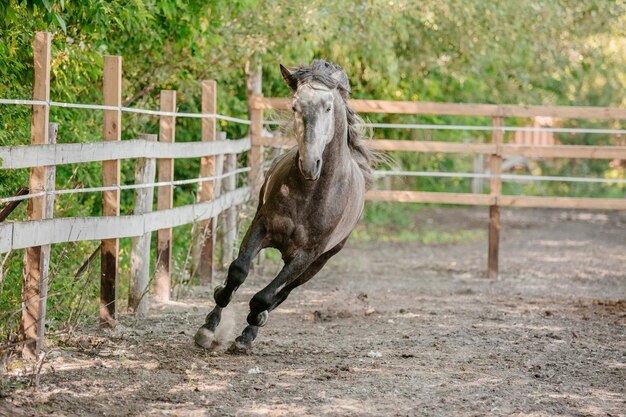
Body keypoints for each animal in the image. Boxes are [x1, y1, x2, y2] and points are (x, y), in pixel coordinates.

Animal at [193, 59, 372, 352]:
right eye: (295, 106)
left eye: (328, 107)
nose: (310, 164)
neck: (309, 194)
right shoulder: (262, 226)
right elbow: (238, 271)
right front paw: (208, 326)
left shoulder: (307, 256)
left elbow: (265, 297)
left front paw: (252, 324)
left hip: (318, 262)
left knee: (284, 292)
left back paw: (252, 329)